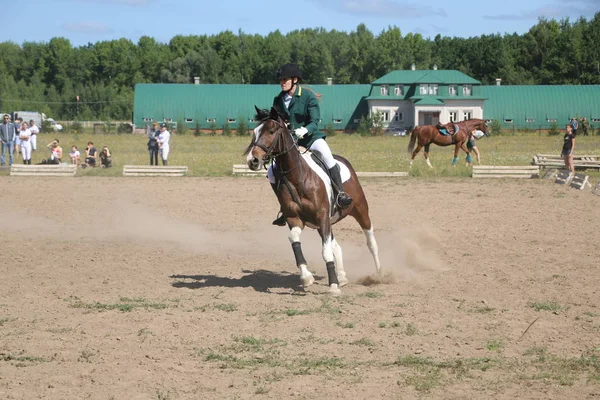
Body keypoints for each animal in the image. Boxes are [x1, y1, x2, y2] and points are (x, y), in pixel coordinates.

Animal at [244, 108, 380, 296]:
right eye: (255, 132)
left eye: (271, 131)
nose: (253, 160)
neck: (297, 177)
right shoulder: (295, 219)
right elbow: (294, 239)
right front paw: (307, 277)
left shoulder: (322, 216)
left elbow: (326, 252)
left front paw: (333, 286)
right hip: (324, 224)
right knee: (336, 246)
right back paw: (342, 277)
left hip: (360, 210)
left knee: (370, 241)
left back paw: (378, 274)